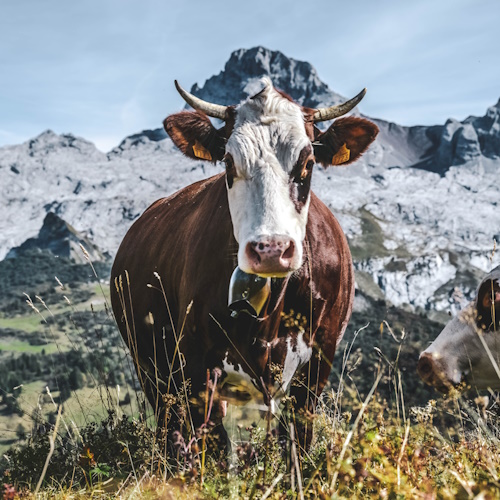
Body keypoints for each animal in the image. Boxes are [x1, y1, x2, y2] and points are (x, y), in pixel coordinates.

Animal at [110, 77, 378, 454]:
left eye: (308, 163)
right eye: (228, 161)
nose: (271, 249)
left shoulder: (318, 363)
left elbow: (296, 439)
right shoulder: (196, 360)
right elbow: (215, 443)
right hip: (150, 365)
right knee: (170, 425)